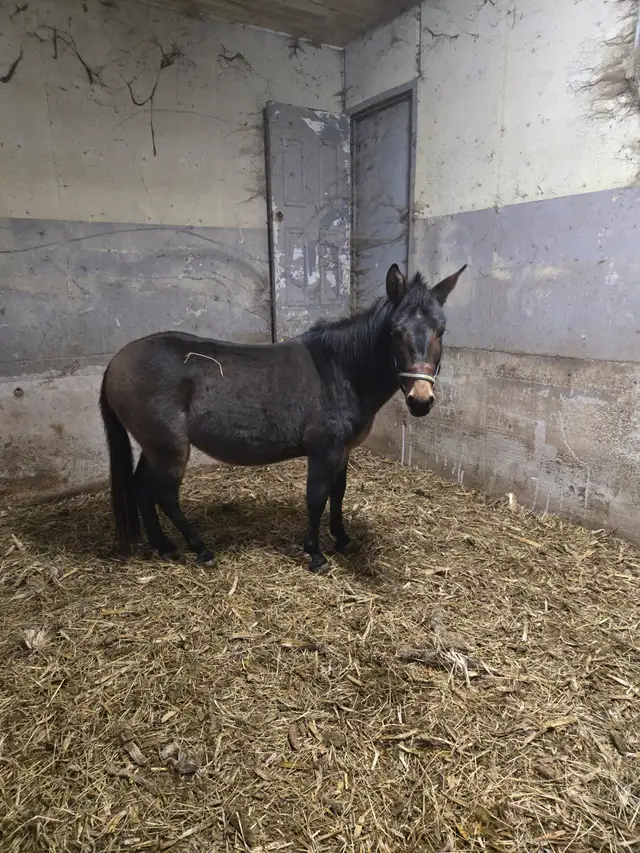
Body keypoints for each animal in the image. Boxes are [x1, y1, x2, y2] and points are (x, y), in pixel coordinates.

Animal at [99, 262, 467, 573]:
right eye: (394, 332)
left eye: (441, 330)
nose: (421, 400)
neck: (341, 370)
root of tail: (116, 362)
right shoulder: (324, 450)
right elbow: (316, 497)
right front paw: (315, 553)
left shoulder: (343, 451)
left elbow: (338, 492)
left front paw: (341, 538)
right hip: (171, 449)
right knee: (164, 495)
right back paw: (199, 548)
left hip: (153, 447)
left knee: (141, 490)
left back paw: (163, 546)